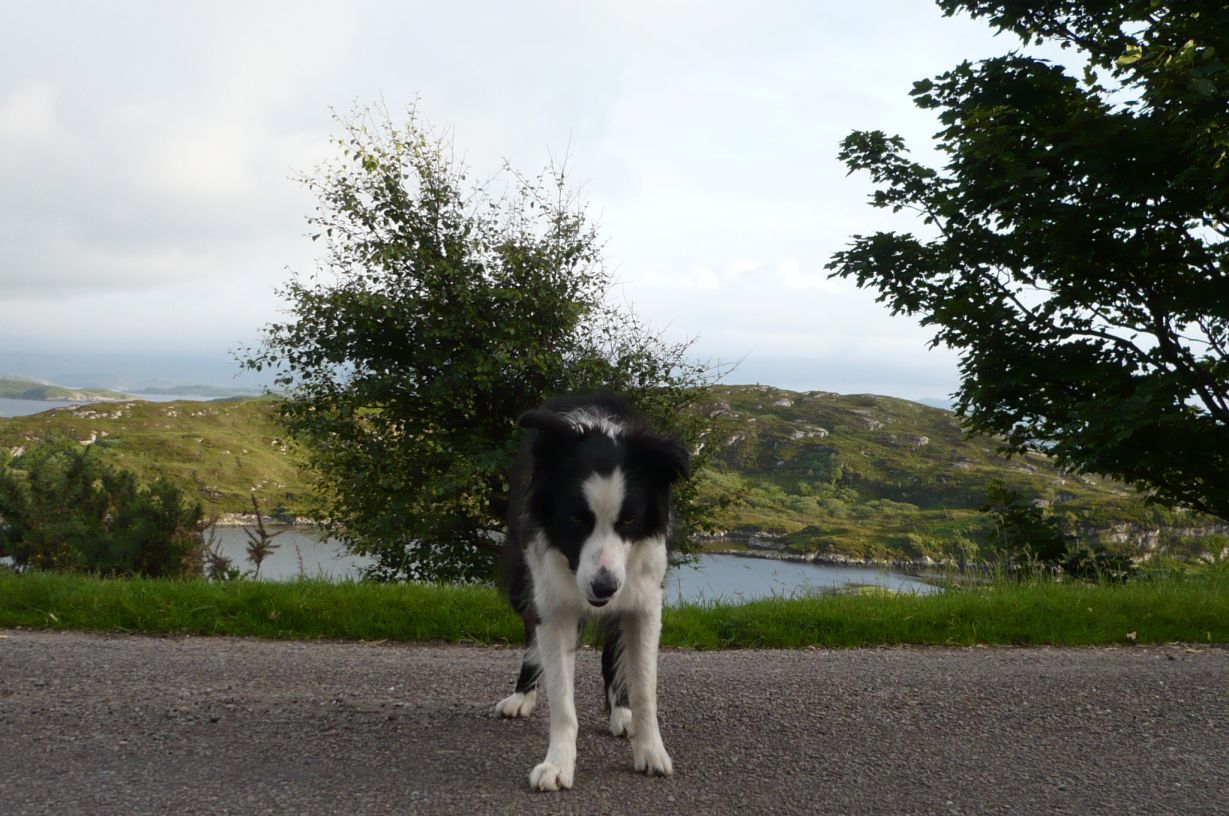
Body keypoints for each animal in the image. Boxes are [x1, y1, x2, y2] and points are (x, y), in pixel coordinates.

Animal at [494, 393, 689, 791]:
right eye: (575, 519)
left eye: (629, 520)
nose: (604, 587)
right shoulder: (552, 603)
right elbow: (561, 698)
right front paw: (557, 765)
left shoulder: (643, 602)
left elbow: (645, 687)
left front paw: (649, 750)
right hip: (523, 583)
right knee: (530, 636)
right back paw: (521, 696)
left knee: (614, 652)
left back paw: (621, 712)